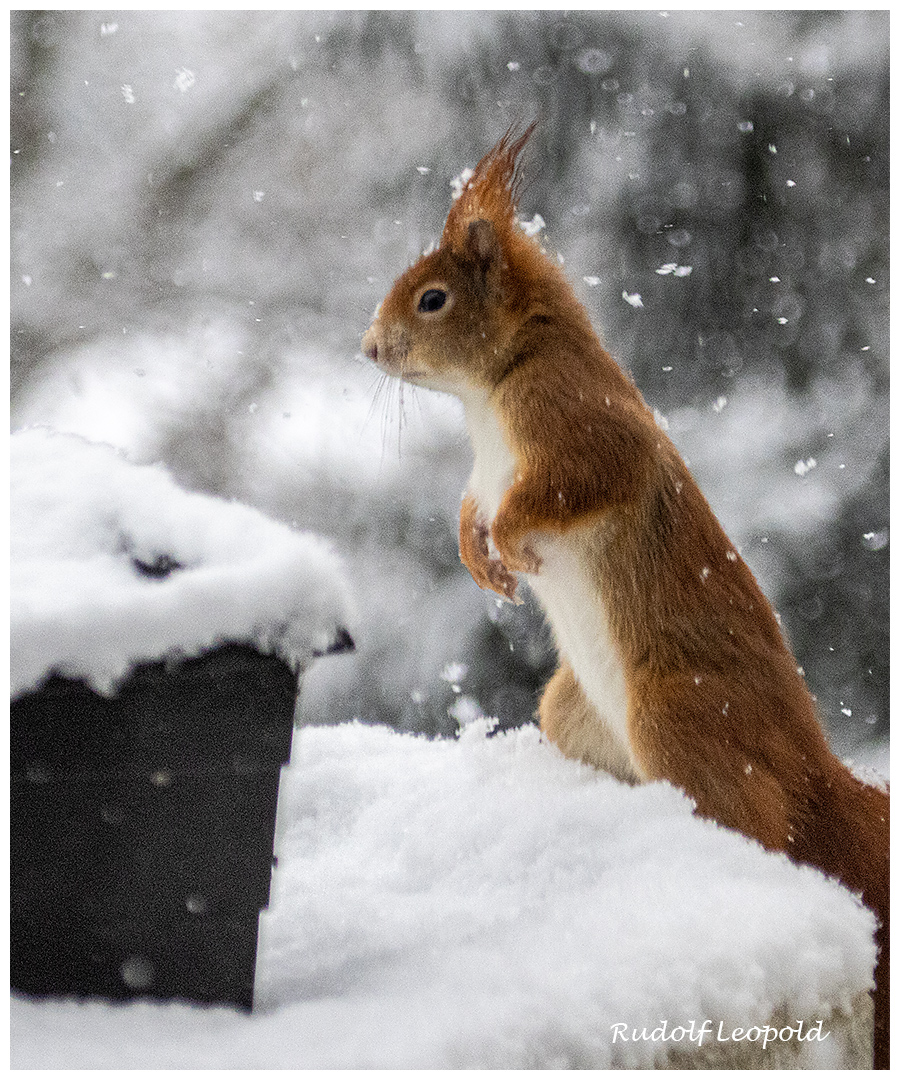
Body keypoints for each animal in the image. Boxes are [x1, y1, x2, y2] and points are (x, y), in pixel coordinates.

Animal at [360, 126, 890, 1071]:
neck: (498, 387)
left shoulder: (579, 425)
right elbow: (468, 506)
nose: (368, 348)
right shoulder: (486, 469)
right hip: (573, 712)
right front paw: (477, 552)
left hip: (679, 715)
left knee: (759, 826)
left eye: (431, 298)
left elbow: (571, 484)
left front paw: (508, 541)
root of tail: (818, 772)